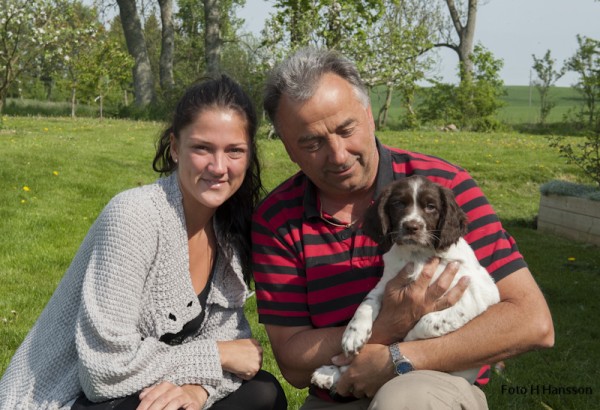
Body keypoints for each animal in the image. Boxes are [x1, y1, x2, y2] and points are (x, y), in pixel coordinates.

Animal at [312, 174, 500, 390]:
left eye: (431, 206)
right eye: (398, 203)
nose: (411, 227)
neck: (418, 255)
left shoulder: (478, 292)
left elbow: (428, 321)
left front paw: (408, 339)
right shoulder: (386, 283)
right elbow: (366, 303)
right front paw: (353, 335)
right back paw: (328, 373)